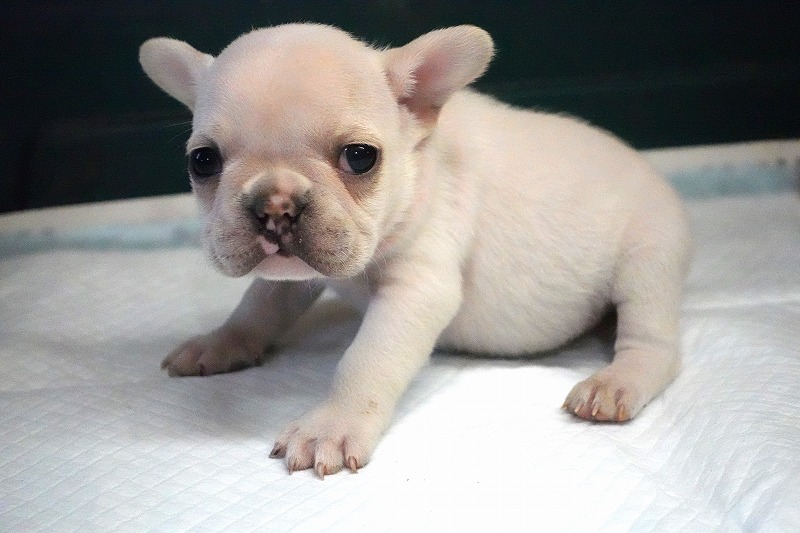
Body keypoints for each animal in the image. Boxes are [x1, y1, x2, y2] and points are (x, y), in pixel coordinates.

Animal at [139, 23, 692, 478]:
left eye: (360, 157)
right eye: (202, 161)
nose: (276, 204)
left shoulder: (418, 289)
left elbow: (366, 360)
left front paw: (331, 425)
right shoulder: (294, 276)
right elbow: (258, 307)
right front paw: (221, 342)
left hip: (648, 257)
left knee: (654, 344)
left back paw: (616, 383)